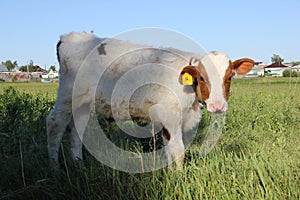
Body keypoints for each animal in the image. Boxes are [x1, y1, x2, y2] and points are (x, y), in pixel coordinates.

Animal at [45, 32, 254, 170]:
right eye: (202, 78)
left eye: (229, 77)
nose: (218, 106)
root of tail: (69, 37)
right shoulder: (170, 114)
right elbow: (178, 149)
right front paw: (179, 177)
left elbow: (171, 147)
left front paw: (171, 173)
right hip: (68, 96)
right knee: (55, 123)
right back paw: (54, 166)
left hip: (82, 104)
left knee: (76, 129)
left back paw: (78, 164)